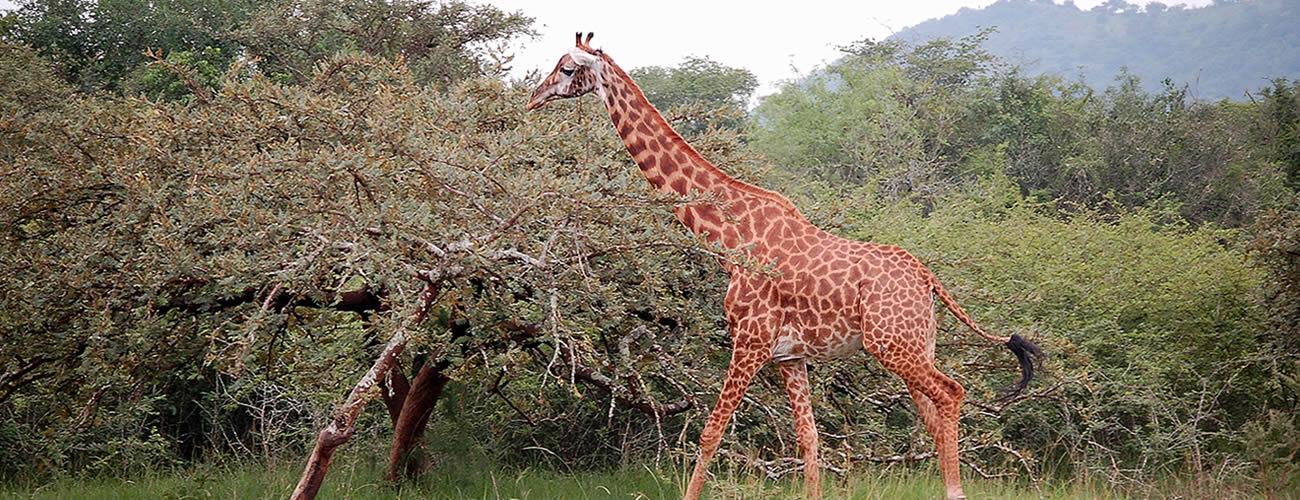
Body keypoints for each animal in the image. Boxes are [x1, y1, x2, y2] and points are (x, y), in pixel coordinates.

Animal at [522, 33, 1040, 496]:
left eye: (566, 69)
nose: (532, 97)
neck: (730, 236)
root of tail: (930, 278)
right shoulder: (791, 356)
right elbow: (809, 440)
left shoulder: (750, 339)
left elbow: (710, 433)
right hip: (915, 343)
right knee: (932, 413)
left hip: (892, 345)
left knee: (951, 393)